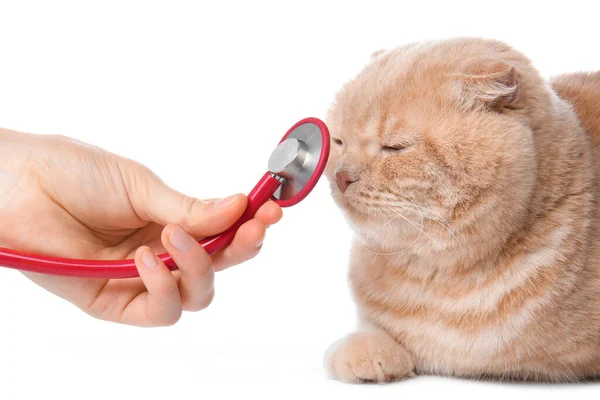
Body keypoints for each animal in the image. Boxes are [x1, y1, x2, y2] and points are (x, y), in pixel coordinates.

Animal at [324, 38, 600, 384]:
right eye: (339, 142)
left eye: (394, 148)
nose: (342, 177)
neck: (436, 280)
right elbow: (369, 334)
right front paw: (369, 356)